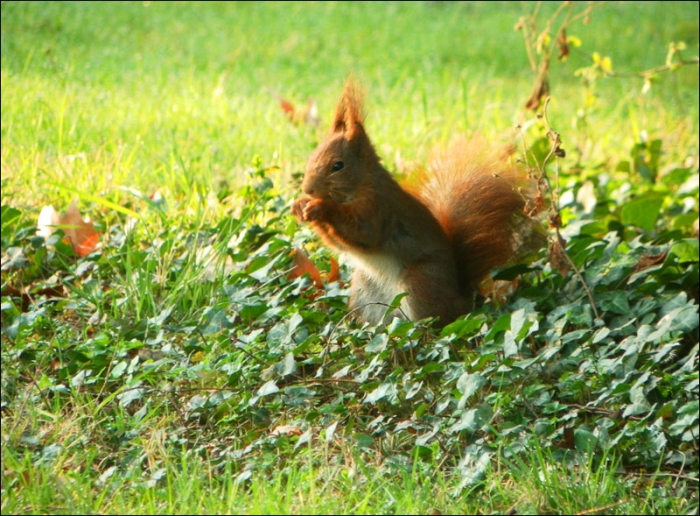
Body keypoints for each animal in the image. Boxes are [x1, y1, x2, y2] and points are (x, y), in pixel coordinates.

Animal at [292, 81, 542, 325]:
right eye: (312, 157)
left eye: (337, 166)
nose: (308, 189)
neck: (361, 186)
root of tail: (461, 296)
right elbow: (340, 245)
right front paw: (300, 205)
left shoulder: (379, 209)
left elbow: (362, 233)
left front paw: (320, 207)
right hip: (365, 288)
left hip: (419, 281)